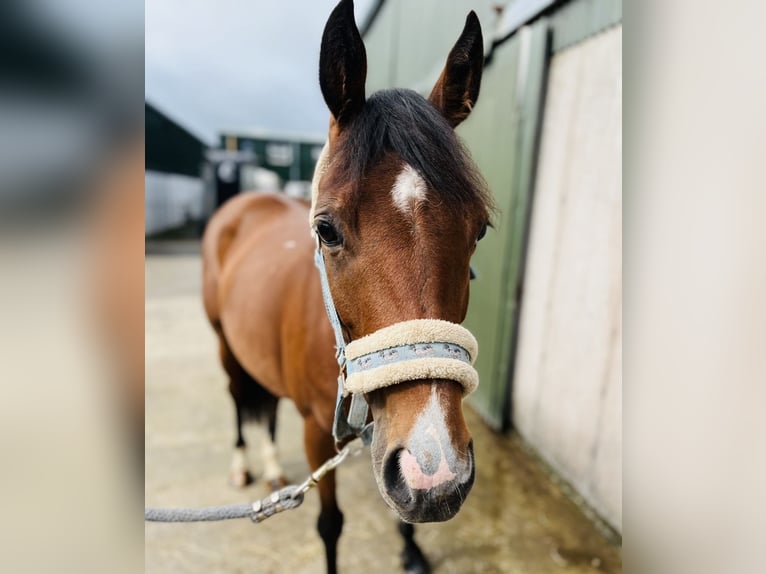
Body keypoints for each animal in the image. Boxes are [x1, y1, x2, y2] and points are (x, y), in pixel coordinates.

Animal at [201, 1, 491, 572]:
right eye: (327, 229)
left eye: (480, 231)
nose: (437, 471)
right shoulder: (318, 431)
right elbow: (331, 525)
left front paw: (411, 550)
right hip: (226, 343)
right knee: (238, 398)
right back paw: (244, 465)